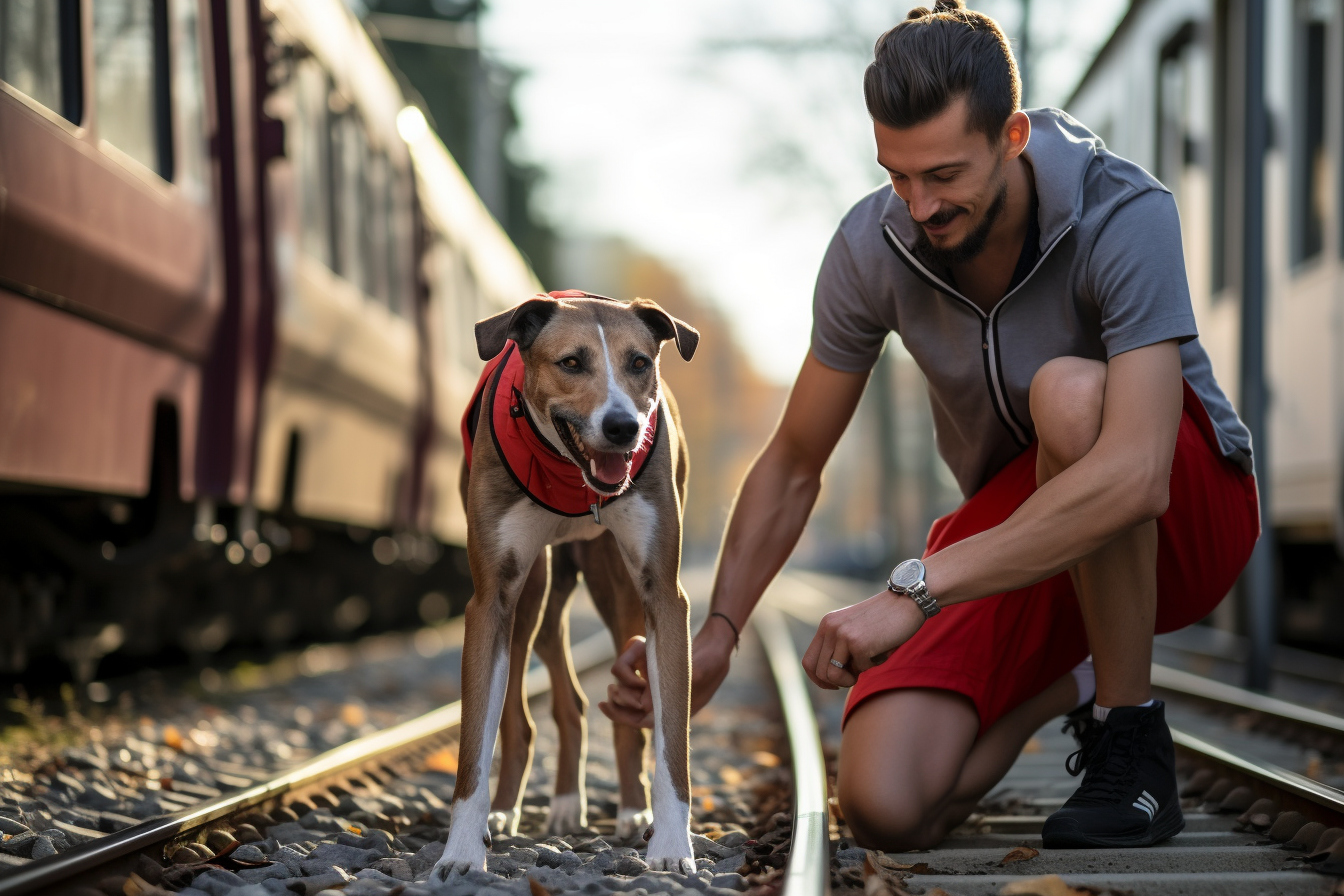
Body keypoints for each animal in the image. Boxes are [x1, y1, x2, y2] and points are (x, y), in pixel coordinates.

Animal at [432, 291, 704, 881]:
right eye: (572, 362)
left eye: (639, 363)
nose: (624, 427)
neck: (571, 480)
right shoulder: (490, 602)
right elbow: (473, 743)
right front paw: (460, 852)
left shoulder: (663, 597)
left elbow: (671, 741)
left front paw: (672, 844)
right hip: (533, 597)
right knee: (531, 715)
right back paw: (517, 809)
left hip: (613, 590)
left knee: (618, 717)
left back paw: (627, 811)